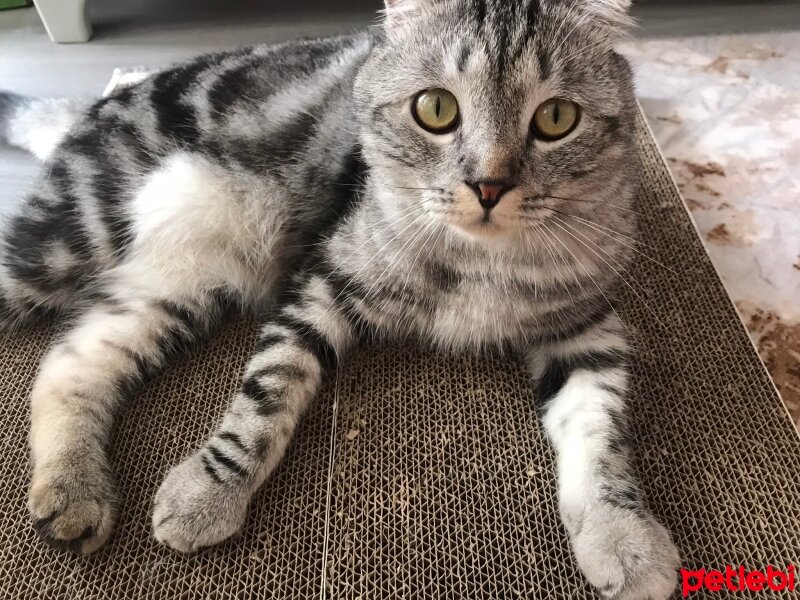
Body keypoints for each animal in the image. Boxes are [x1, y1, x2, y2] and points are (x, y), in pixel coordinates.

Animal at [0, 0, 680, 596]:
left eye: (556, 119)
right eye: (436, 109)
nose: (488, 185)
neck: (481, 263)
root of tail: (100, 102)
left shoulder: (587, 327)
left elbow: (602, 435)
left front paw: (624, 538)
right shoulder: (323, 283)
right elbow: (266, 397)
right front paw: (207, 493)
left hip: (176, 288)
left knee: (67, 364)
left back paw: (73, 495)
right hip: (63, 242)